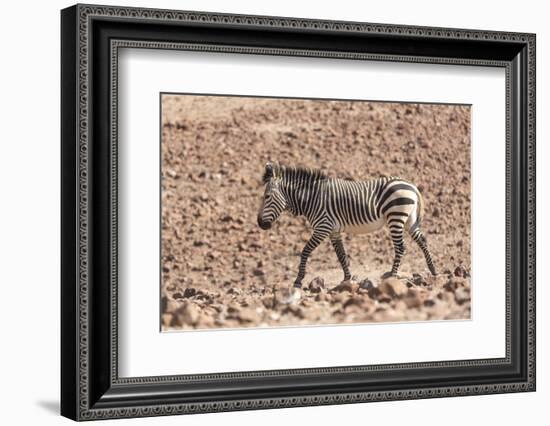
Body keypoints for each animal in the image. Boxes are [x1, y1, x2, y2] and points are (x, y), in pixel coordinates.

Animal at [260, 163, 440, 290]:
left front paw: (298, 281)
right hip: (409, 220)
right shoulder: (333, 231)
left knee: (401, 247)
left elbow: (305, 251)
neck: (312, 198)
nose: (260, 224)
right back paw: (433, 270)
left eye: (267, 196)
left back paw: (392, 275)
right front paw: (347, 279)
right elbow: (341, 255)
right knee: (422, 240)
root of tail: (412, 185)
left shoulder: (323, 227)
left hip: (395, 217)